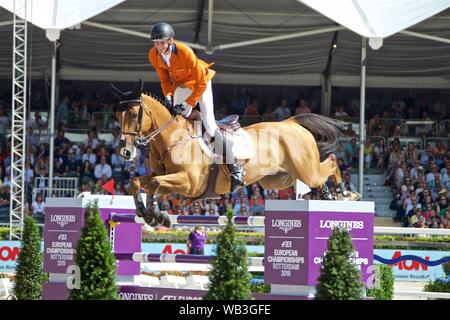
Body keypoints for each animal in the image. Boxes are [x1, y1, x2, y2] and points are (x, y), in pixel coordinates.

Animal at [113, 82, 362, 228]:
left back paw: (345, 195)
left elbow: (154, 183)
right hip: (279, 179)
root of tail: (291, 122)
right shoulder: (172, 183)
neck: (173, 138)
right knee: (316, 178)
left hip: (305, 169)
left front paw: (155, 214)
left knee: (330, 163)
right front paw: (147, 212)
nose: (126, 151)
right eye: (117, 115)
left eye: (134, 114)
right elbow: (139, 182)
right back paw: (328, 195)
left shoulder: (189, 183)